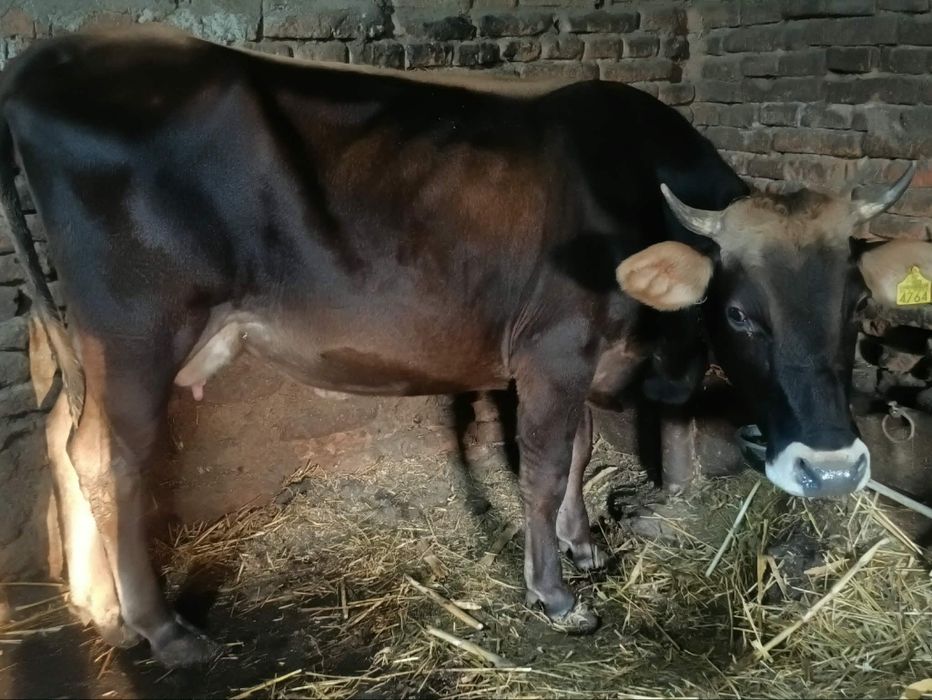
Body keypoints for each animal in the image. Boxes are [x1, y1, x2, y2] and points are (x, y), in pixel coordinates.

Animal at [0, 26, 923, 666]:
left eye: (854, 306)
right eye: (739, 314)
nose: (833, 471)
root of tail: (52, 56)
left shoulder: (579, 357)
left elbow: (582, 450)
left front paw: (586, 545)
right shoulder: (552, 349)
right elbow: (545, 464)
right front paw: (555, 593)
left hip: (87, 339)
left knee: (68, 443)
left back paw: (103, 611)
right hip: (135, 330)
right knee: (110, 459)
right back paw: (162, 629)